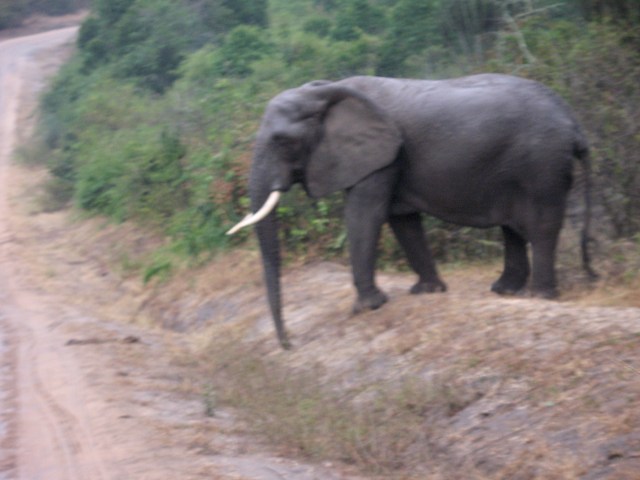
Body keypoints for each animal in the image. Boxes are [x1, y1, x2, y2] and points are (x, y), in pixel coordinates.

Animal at [228, 74, 596, 349]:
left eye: (283, 141)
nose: (289, 344)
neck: (325, 90)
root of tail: (574, 124)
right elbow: (401, 220)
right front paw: (427, 292)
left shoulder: (382, 156)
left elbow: (365, 213)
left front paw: (366, 308)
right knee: (513, 229)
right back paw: (505, 291)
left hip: (542, 165)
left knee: (542, 225)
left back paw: (540, 297)